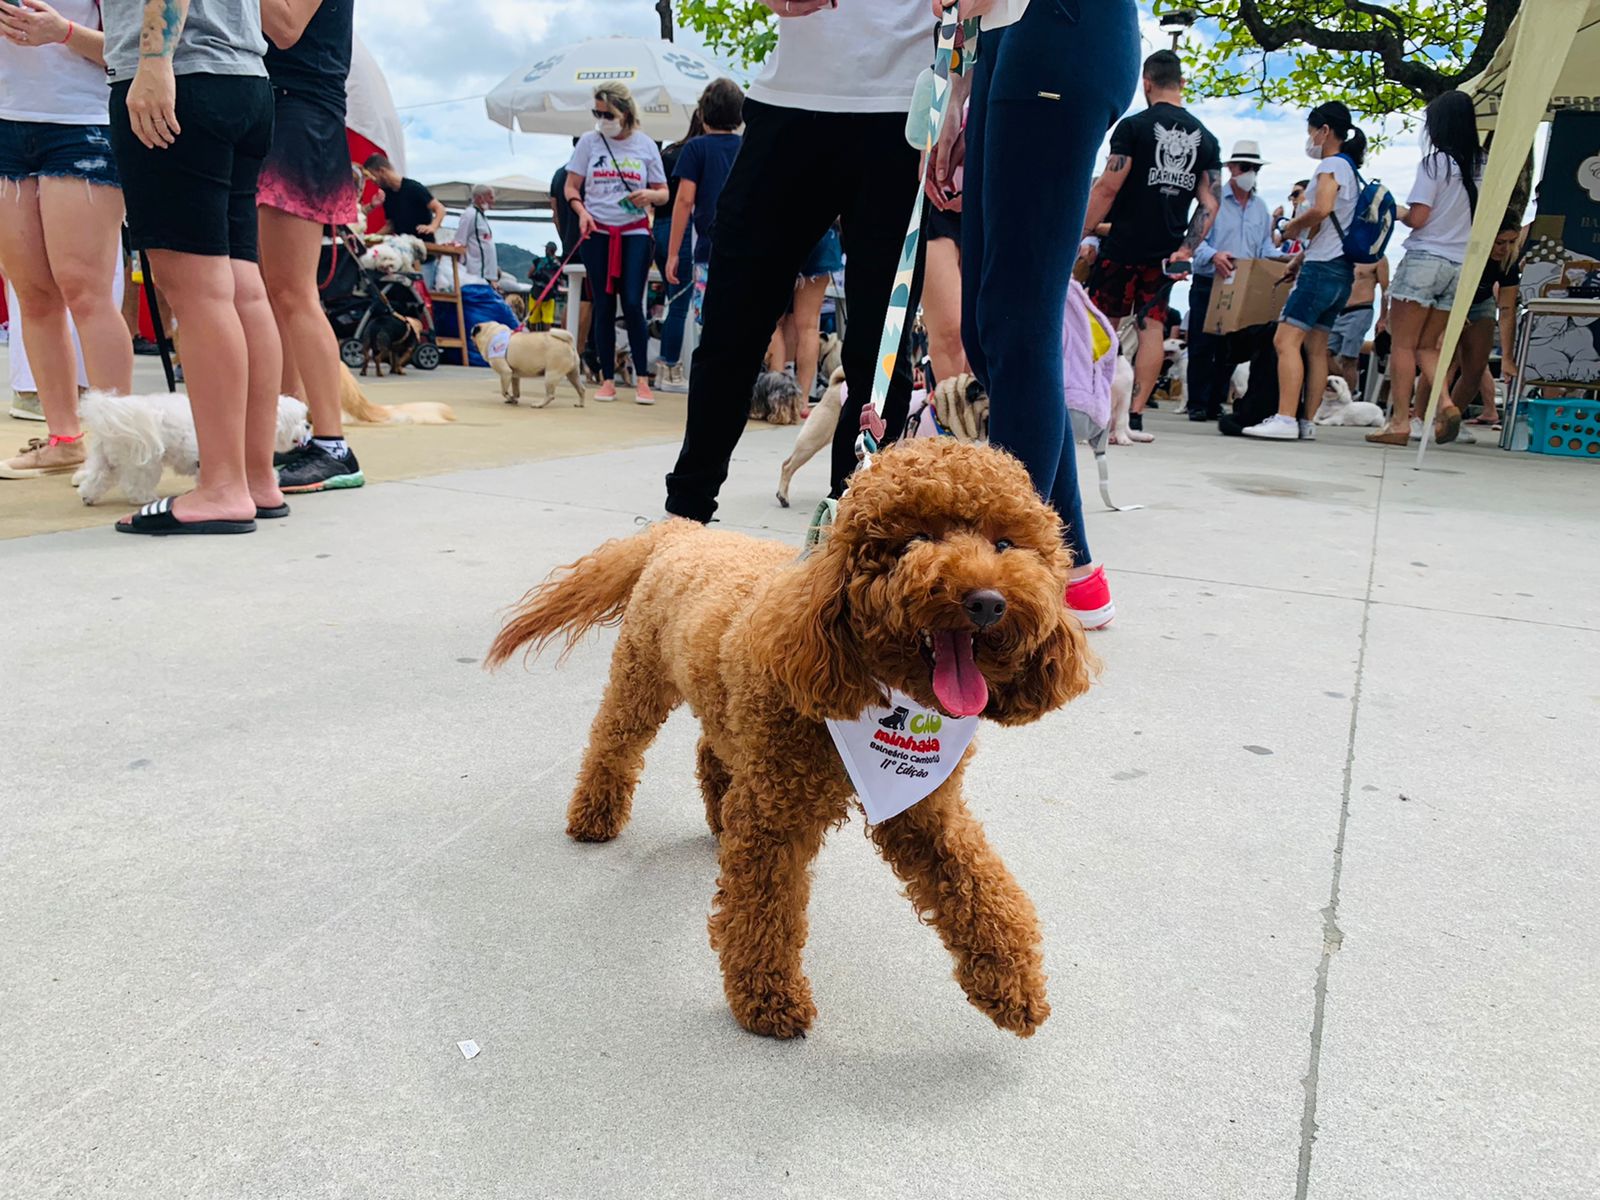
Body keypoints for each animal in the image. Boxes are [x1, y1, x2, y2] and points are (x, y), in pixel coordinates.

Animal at [75, 395, 308, 508]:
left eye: (304, 418)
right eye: (296, 420)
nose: (307, 426)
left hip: (106, 458)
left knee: (97, 477)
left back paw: (88, 496)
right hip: (144, 460)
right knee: (135, 483)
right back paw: (144, 498)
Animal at [480, 441, 1094, 1043]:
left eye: (1006, 542)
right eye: (916, 539)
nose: (987, 601)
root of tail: (682, 533)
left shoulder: (922, 803)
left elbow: (978, 883)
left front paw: (1013, 984)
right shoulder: (774, 812)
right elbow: (764, 908)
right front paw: (767, 996)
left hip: (725, 712)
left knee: (711, 752)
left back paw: (715, 818)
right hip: (641, 679)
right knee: (613, 743)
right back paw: (593, 816)